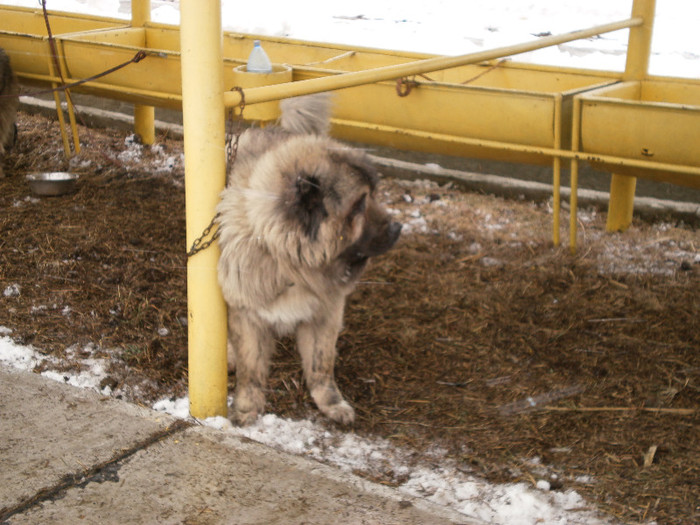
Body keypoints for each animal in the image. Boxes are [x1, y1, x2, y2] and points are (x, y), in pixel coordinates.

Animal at [216, 93, 402, 422]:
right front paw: (248, 407)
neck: (292, 264)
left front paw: (331, 403)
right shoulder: (247, 314)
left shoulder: (325, 314)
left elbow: (320, 366)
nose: (398, 227)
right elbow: (251, 369)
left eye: (374, 195)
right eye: (359, 205)